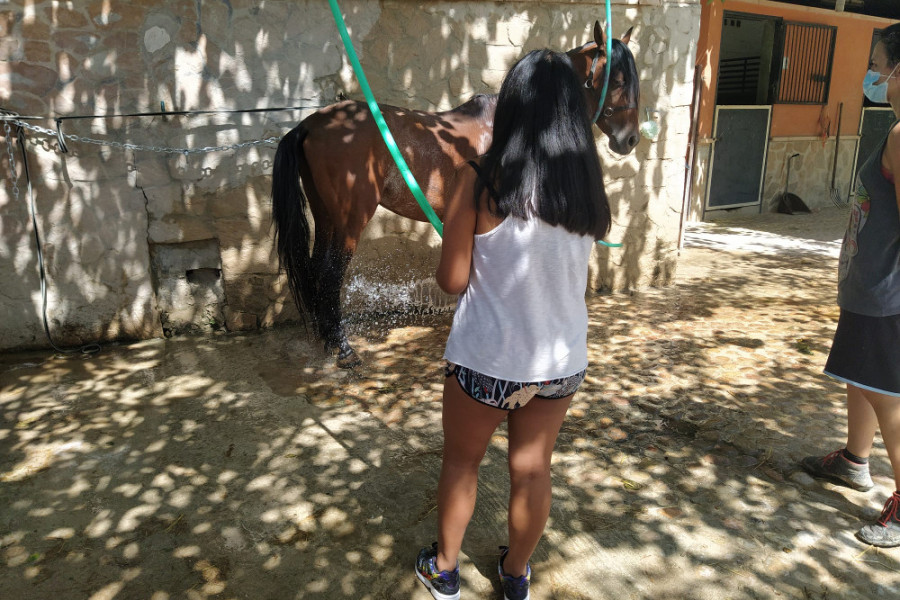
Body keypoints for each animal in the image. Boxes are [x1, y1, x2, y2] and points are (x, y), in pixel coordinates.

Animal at [272, 21, 640, 368]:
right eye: (617, 79)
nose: (630, 138)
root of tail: (310, 125)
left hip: (326, 215)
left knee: (316, 269)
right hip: (350, 220)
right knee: (330, 275)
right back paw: (343, 349)